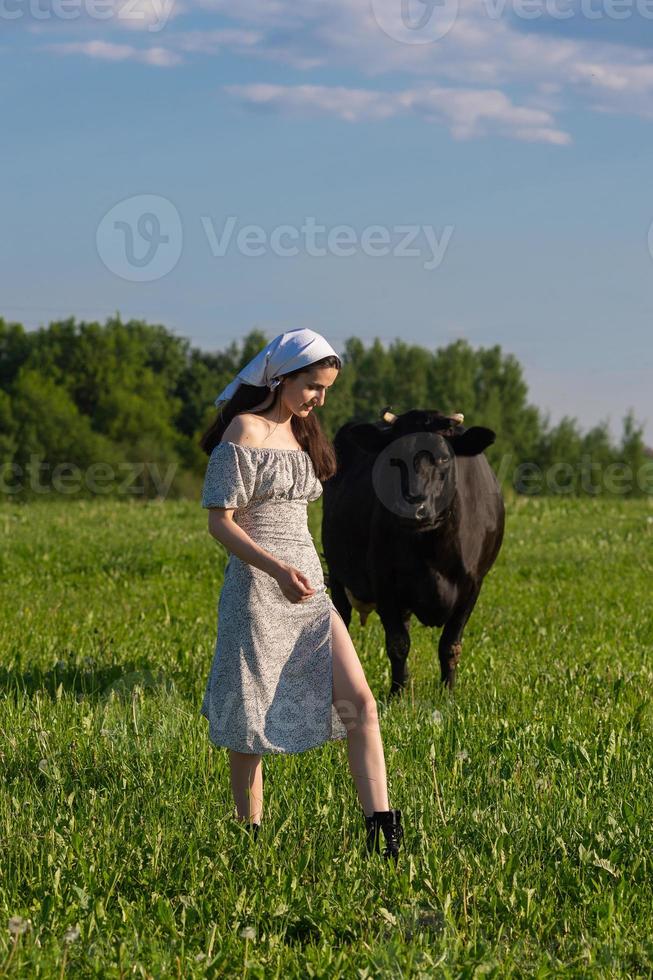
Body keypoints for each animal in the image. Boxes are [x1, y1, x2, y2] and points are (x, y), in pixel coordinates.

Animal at [322, 410, 504, 692]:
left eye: (444, 457)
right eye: (394, 458)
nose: (413, 506)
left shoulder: (473, 584)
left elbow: (450, 645)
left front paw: (448, 692)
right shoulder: (383, 580)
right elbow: (398, 643)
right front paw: (398, 692)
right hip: (339, 575)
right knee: (343, 620)